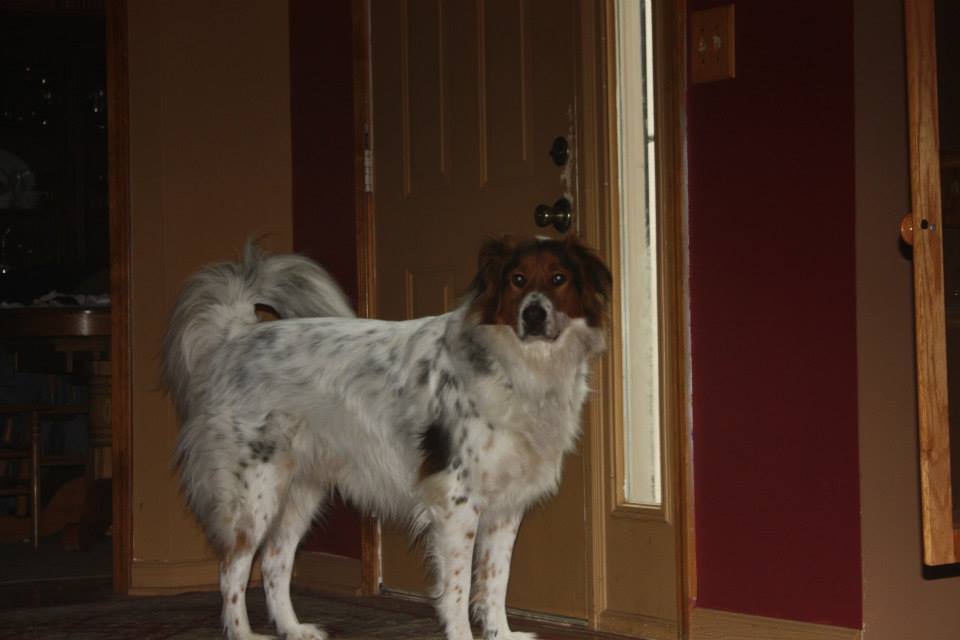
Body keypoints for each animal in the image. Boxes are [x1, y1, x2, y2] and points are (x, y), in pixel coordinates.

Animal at [162, 235, 611, 640]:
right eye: (518, 279)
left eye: (558, 278)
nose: (534, 314)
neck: (516, 366)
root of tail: (237, 336)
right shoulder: (457, 503)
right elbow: (458, 588)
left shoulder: (505, 507)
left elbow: (496, 582)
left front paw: (501, 633)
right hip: (255, 496)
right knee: (232, 568)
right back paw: (243, 633)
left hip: (300, 492)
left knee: (274, 561)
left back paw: (293, 629)